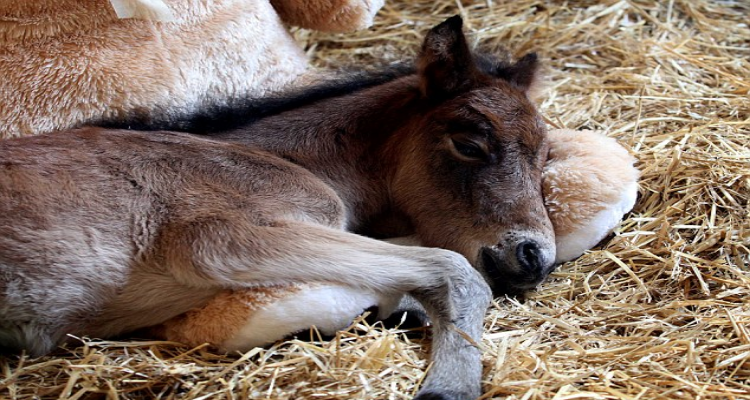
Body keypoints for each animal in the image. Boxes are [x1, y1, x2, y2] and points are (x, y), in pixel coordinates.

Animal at [0, 16, 552, 400]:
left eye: (546, 157)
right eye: (469, 144)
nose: (534, 257)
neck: (282, 158)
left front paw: (403, 309)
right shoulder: (221, 240)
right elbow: (455, 270)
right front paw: (449, 384)